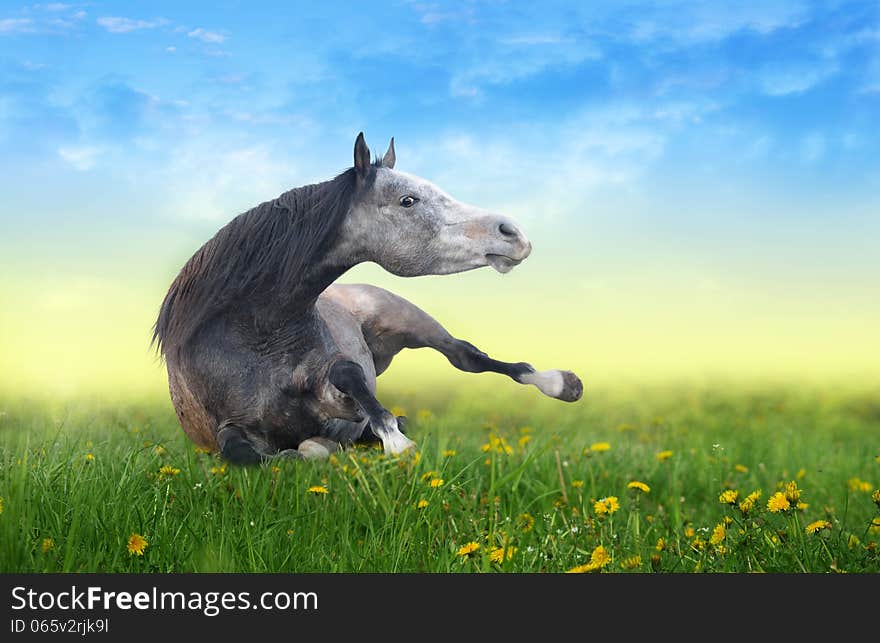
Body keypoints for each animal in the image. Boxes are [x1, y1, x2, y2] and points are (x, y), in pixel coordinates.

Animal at [155, 132, 580, 462]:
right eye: (408, 200)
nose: (513, 233)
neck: (257, 334)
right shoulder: (225, 430)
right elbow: (245, 453)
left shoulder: (336, 398)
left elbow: (348, 377)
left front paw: (394, 439)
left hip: (415, 322)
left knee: (468, 357)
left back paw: (561, 384)